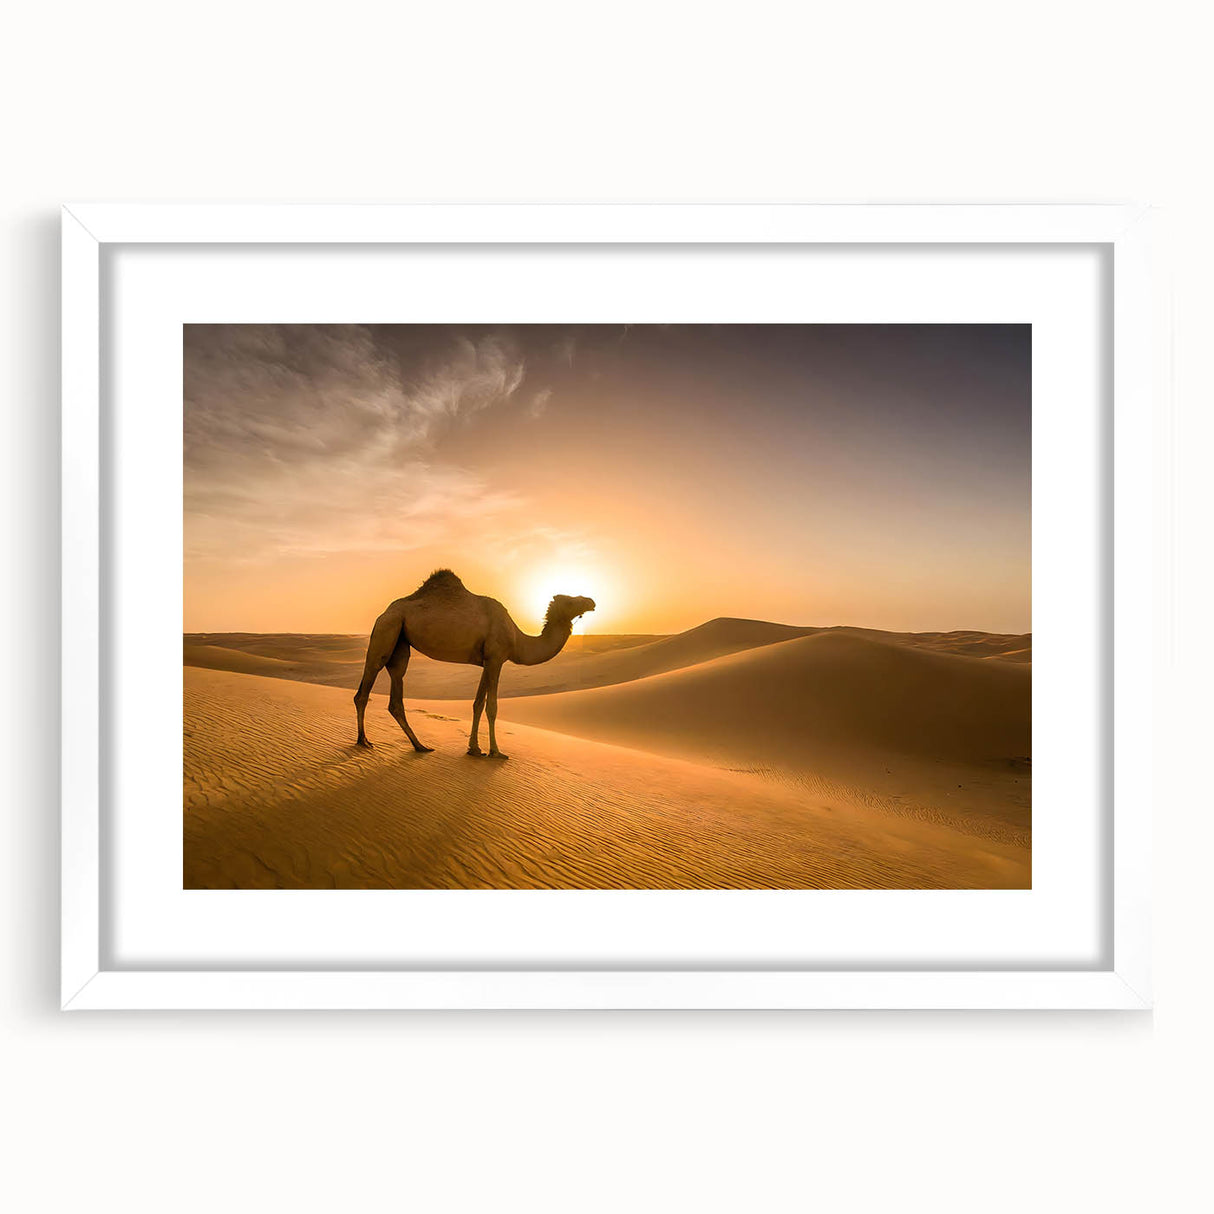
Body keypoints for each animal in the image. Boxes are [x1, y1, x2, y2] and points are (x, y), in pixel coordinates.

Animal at [354, 569, 595, 758]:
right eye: (571, 600)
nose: (591, 602)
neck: (518, 640)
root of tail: (384, 613)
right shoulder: (496, 658)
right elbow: (492, 706)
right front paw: (496, 752)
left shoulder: (487, 661)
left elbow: (478, 703)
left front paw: (474, 749)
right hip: (387, 628)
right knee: (366, 686)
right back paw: (363, 741)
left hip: (400, 641)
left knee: (396, 690)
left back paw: (420, 746)